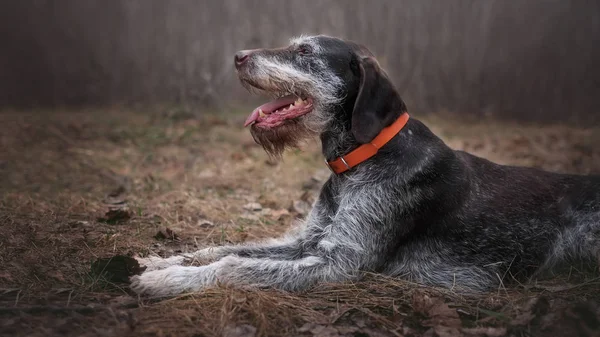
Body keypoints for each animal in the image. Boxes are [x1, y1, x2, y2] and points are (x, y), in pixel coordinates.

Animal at [131, 34, 600, 296]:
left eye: (305, 51)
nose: (238, 56)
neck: (357, 162)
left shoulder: (341, 262)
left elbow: (235, 267)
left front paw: (163, 282)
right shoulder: (308, 241)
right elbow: (226, 248)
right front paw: (159, 263)